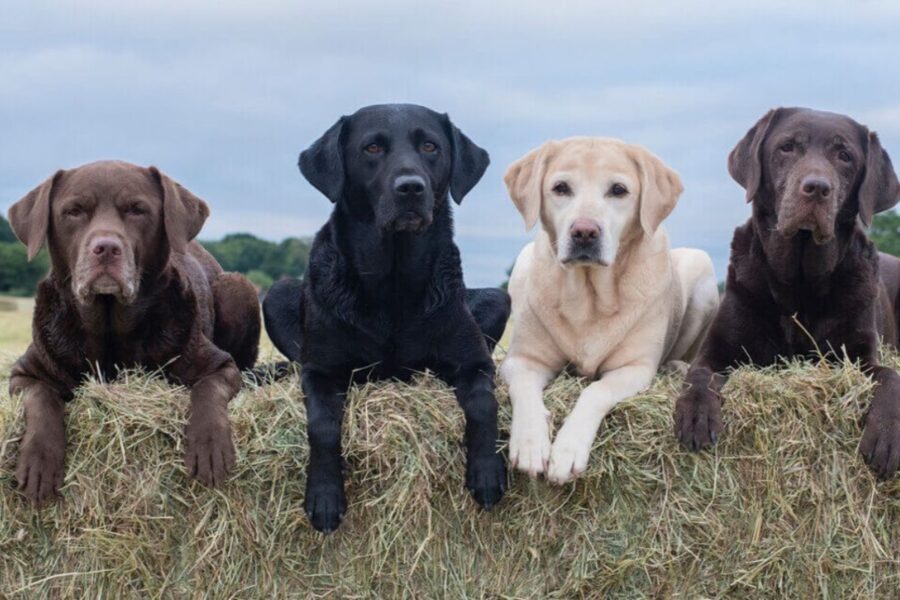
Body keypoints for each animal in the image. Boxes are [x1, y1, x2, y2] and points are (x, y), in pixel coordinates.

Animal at [7, 159, 260, 502]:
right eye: (73, 211)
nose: (105, 248)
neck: (110, 327)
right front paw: (39, 461)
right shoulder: (24, 373)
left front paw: (209, 446)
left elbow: (207, 391)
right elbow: (41, 398)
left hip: (238, 287)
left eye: (137, 210)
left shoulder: (220, 364)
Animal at [676, 105, 900, 476]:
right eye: (787, 147)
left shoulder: (861, 357)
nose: (817, 188)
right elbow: (698, 374)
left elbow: (892, 377)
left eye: (844, 156)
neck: (800, 285)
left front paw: (887, 433)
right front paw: (696, 414)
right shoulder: (716, 351)